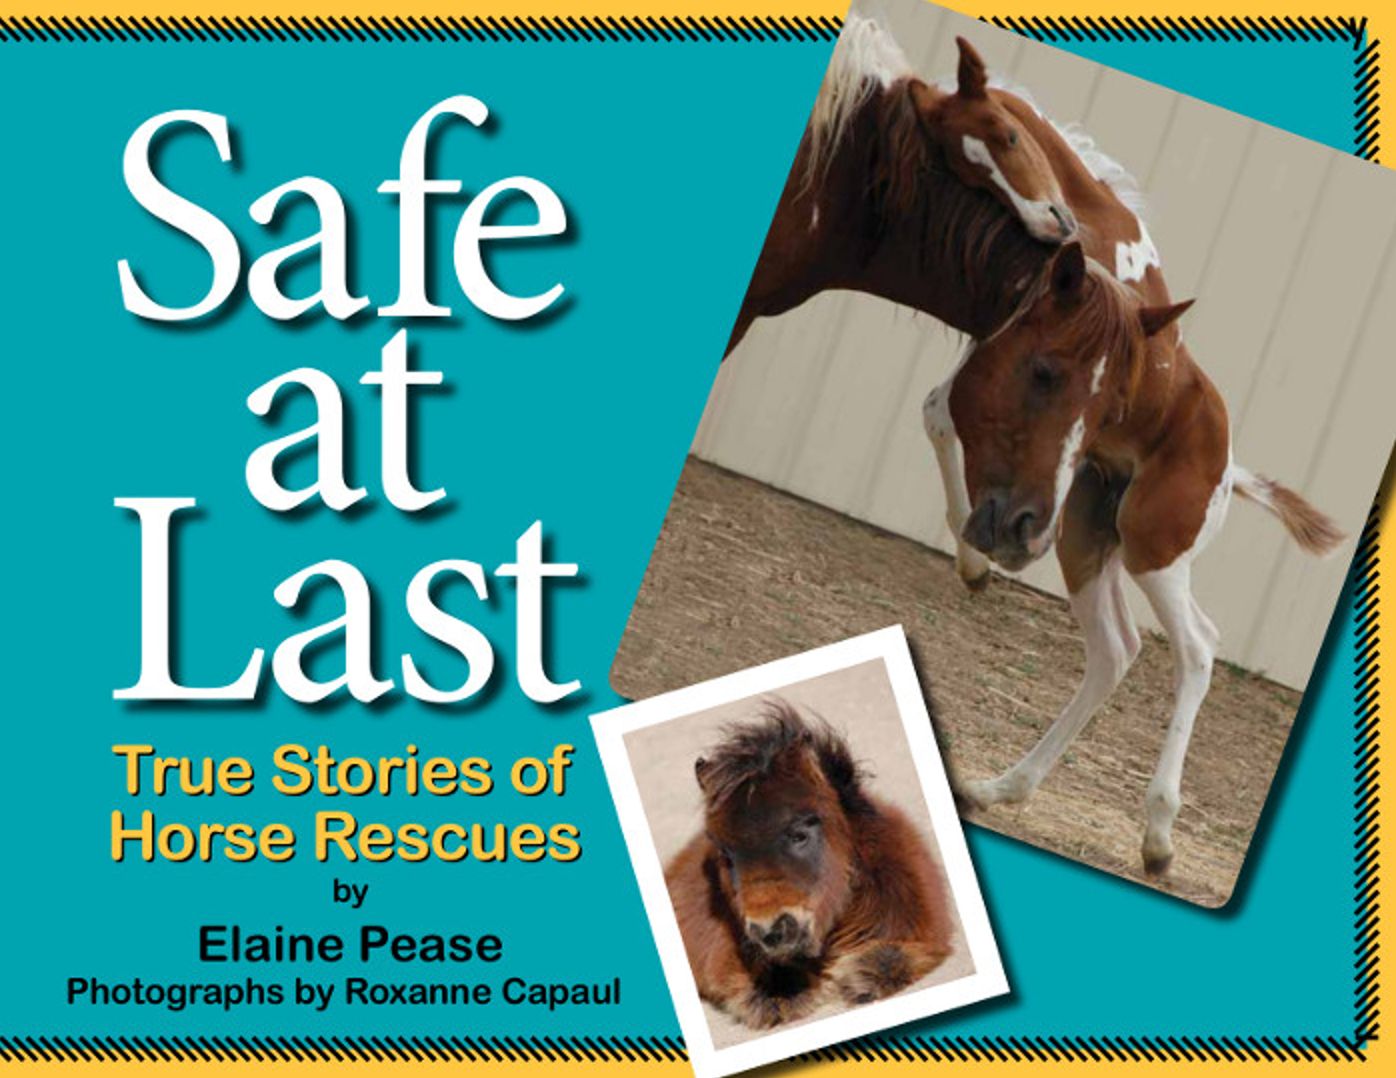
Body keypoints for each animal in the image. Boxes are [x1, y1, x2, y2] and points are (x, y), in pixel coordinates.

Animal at [911, 39, 1343, 875]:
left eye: (1005, 137)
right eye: (953, 158)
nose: (1051, 226)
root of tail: (1229, 472)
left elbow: (943, 409)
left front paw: (974, 558)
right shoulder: (1011, 357)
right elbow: (941, 411)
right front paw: (975, 553)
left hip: (1153, 546)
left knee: (1198, 647)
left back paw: (1158, 832)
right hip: (1089, 536)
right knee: (1118, 648)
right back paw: (1004, 787)